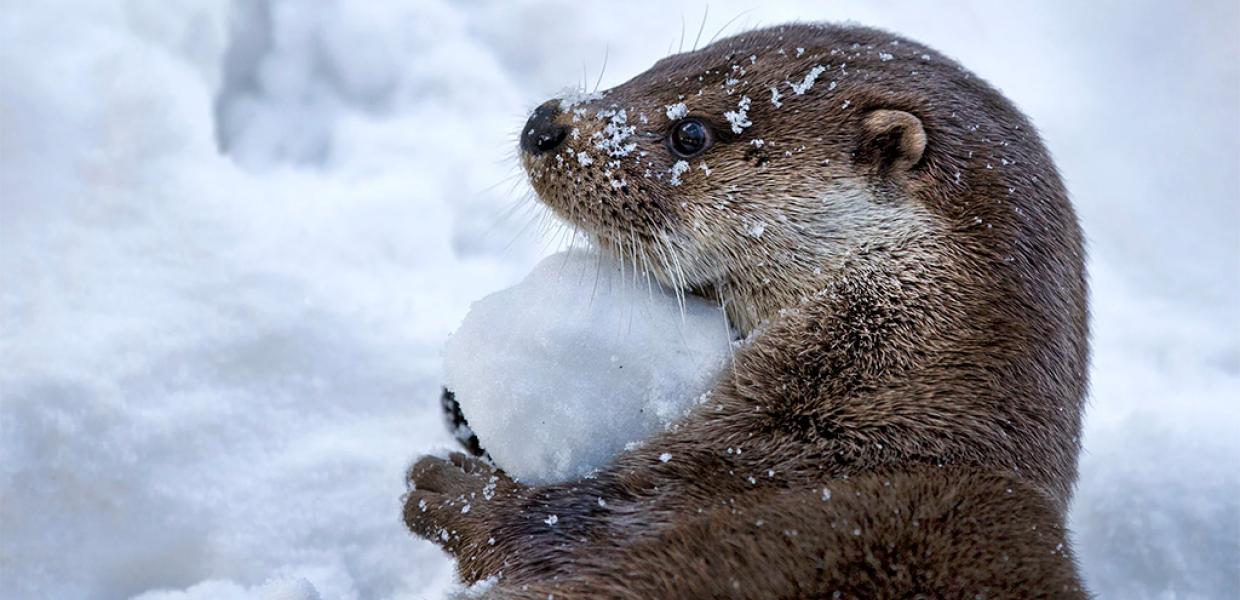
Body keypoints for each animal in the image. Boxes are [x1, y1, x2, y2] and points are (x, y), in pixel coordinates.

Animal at [404, 21, 1086, 597]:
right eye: (661, 65)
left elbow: (552, 528)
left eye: (691, 133)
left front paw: (448, 488)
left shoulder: (686, 493)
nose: (544, 124)